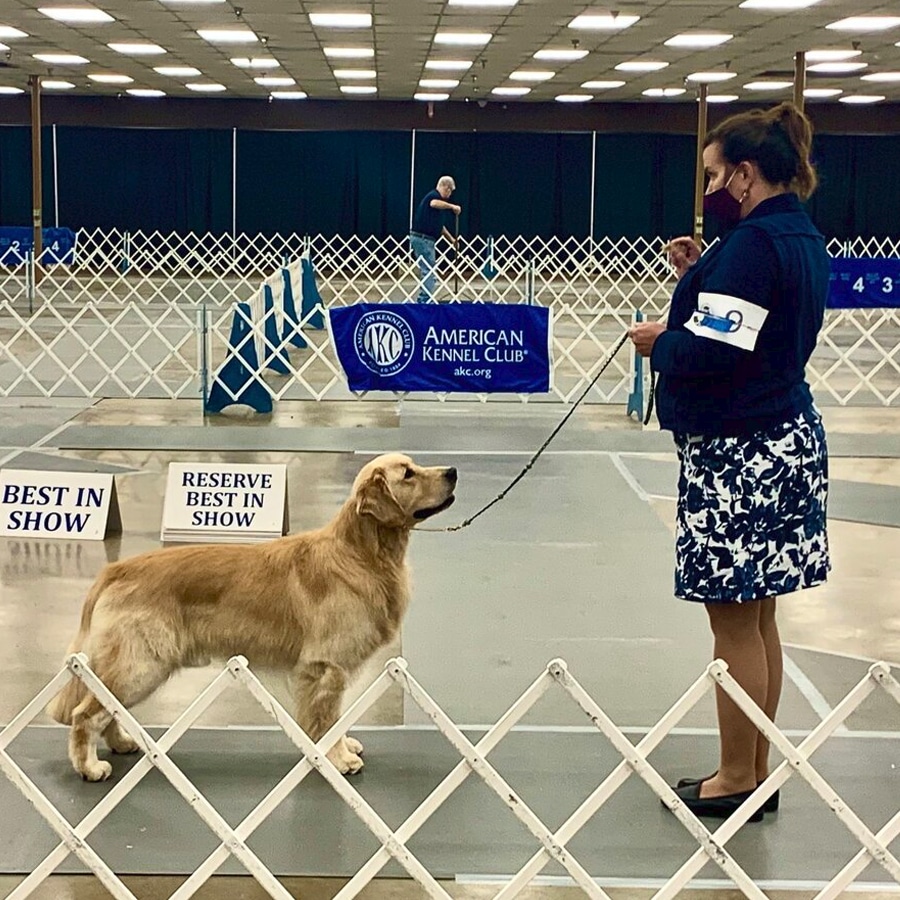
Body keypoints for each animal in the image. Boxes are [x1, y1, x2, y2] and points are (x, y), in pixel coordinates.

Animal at [48, 454, 458, 784]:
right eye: (408, 474)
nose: (452, 471)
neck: (361, 553)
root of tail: (114, 570)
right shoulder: (326, 666)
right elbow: (326, 721)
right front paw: (338, 759)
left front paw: (342, 749)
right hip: (142, 663)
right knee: (86, 713)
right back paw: (89, 768)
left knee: (106, 708)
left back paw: (122, 743)